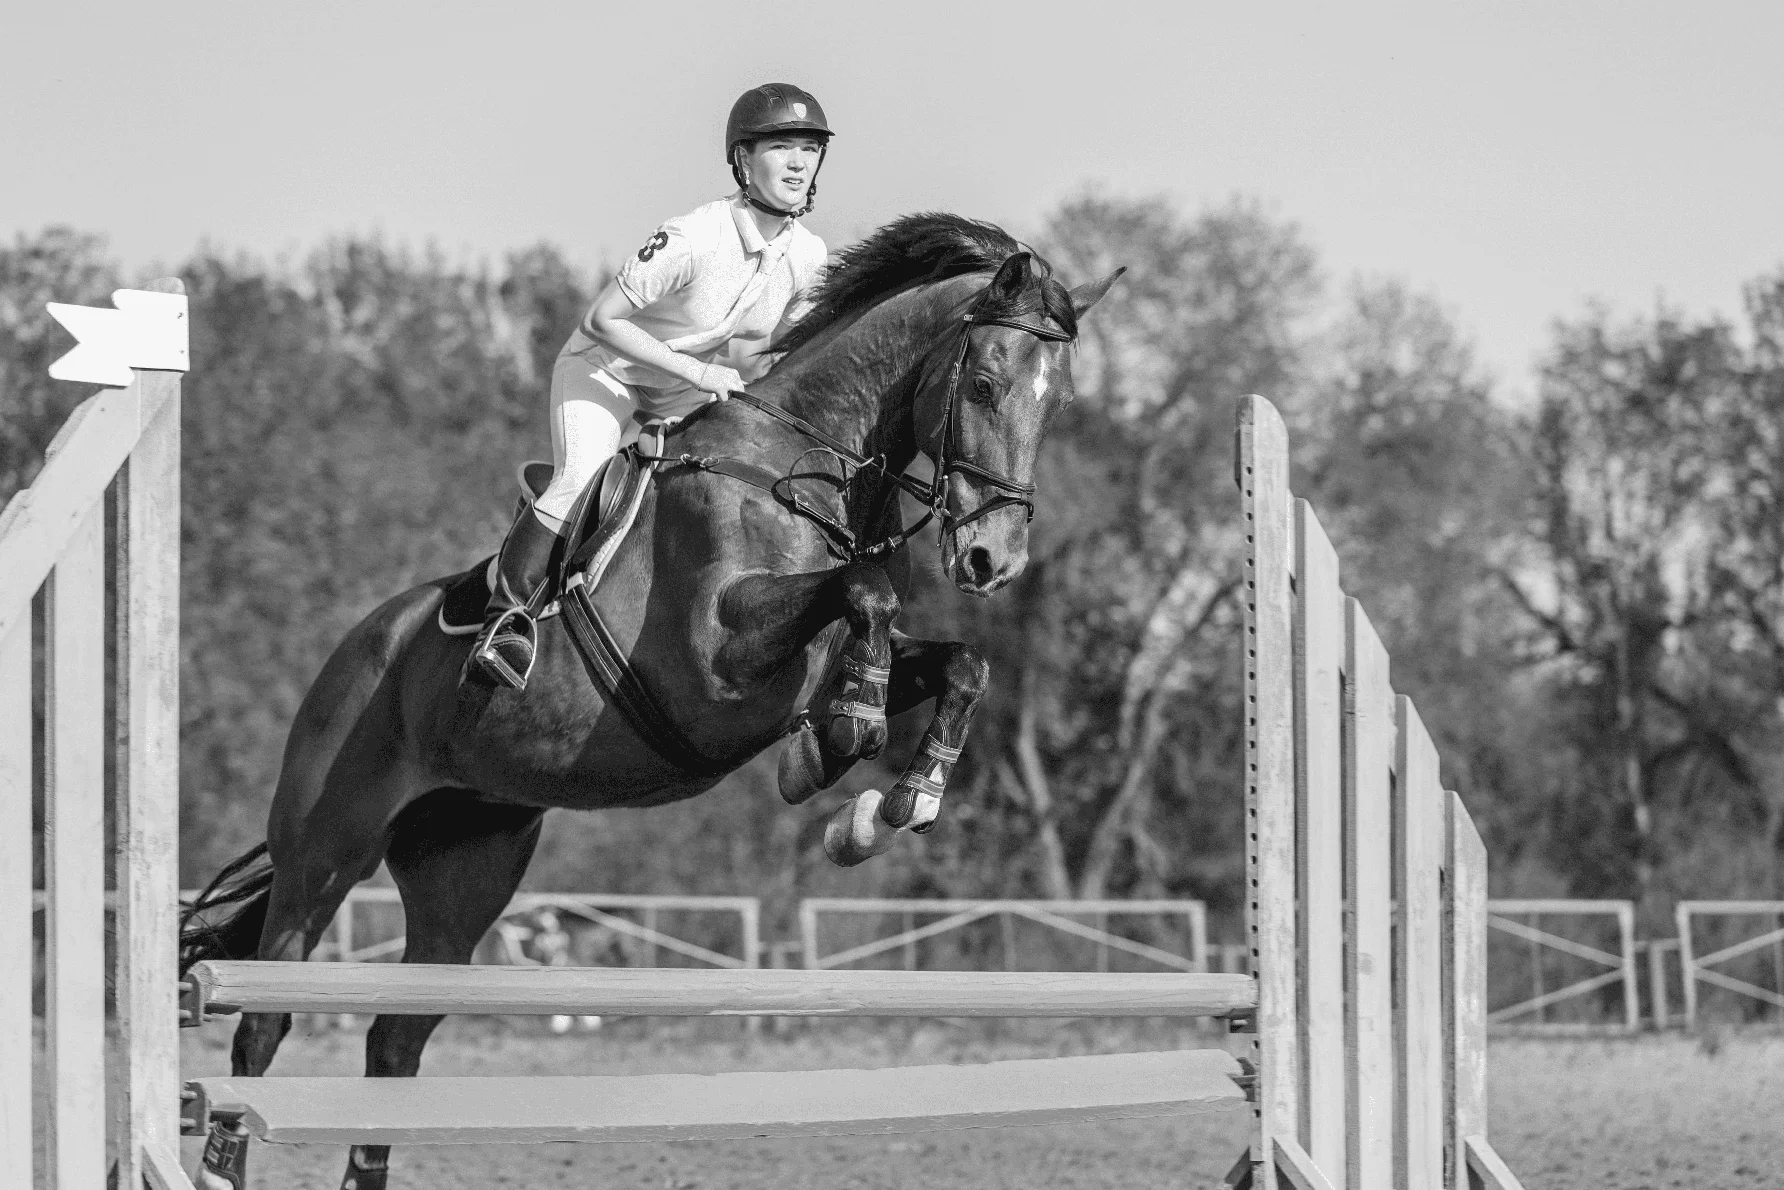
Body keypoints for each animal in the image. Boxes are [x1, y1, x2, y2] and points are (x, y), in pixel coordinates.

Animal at [188, 216, 1120, 1190]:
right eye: (983, 385)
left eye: (1058, 403)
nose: (992, 562)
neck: (797, 467)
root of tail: (356, 648)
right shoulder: (715, 666)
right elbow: (865, 592)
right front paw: (843, 741)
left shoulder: (813, 663)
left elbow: (958, 662)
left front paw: (900, 796)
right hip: (326, 854)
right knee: (265, 1020)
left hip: (463, 866)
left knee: (397, 1039)